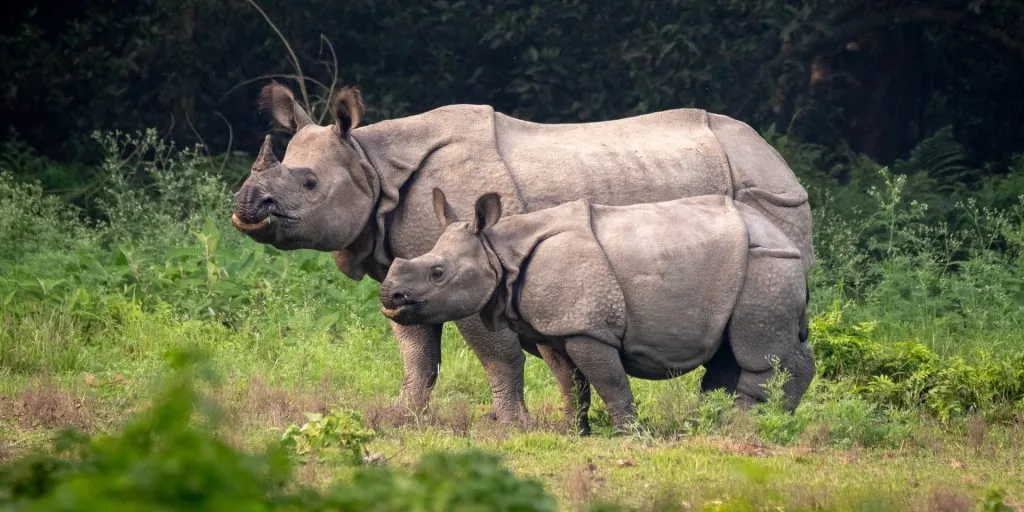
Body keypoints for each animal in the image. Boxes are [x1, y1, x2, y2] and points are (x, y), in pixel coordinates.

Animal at [380, 190, 815, 433]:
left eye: (438, 272)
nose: (389, 296)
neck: (499, 251)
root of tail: (784, 237)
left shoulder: (587, 327)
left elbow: (609, 380)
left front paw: (629, 434)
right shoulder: (556, 328)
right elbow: (570, 382)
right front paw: (572, 431)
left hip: (766, 265)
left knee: (760, 352)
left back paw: (748, 427)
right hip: (750, 267)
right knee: (728, 351)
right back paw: (717, 423)